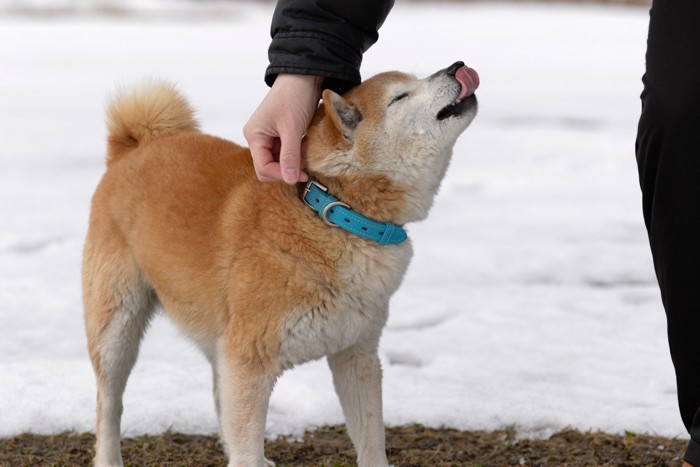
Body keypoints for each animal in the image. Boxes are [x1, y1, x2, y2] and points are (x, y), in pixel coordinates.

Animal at [80, 60, 476, 466]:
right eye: (400, 96)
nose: (457, 67)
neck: (333, 211)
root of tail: (134, 149)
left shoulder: (356, 355)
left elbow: (370, 440)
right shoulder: (249, 360)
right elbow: (247, 447)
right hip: (117, 327)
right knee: (109, 405)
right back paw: (109, 458)